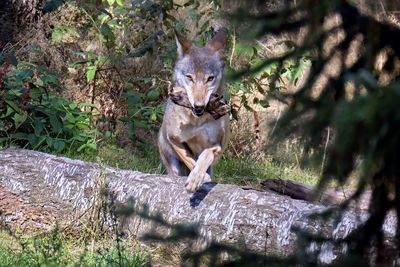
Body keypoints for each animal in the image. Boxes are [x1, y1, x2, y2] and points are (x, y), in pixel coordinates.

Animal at [158, 29, 230, 193]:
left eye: (210, 78)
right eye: (189, 77)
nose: (199, 106)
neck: (196, 121)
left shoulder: (217, 145)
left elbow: (204, 156)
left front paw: (197, 178)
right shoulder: (174, 139)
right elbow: (190, 159)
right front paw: (199, 178)